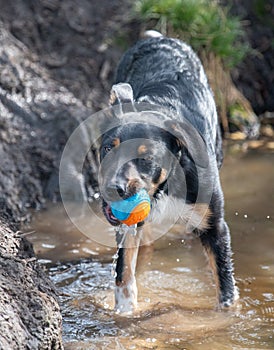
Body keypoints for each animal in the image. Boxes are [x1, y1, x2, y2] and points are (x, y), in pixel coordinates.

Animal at [98, 34, 238, 314]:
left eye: (146, 157)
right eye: (108, 148)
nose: (112, 189)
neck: (165, 185)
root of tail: (161, 38)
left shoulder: (216, 226)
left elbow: (224, 287)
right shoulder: (127, 228)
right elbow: (124, 275)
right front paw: (125, 314)